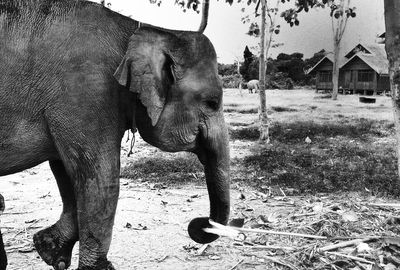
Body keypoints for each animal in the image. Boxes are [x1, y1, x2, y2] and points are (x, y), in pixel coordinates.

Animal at [0, 1, 230, 268]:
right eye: (212, 103)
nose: (196, 223)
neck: (140, 32)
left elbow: (67, 171)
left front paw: (50, 250)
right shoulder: (88, 89)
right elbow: (99, 177)